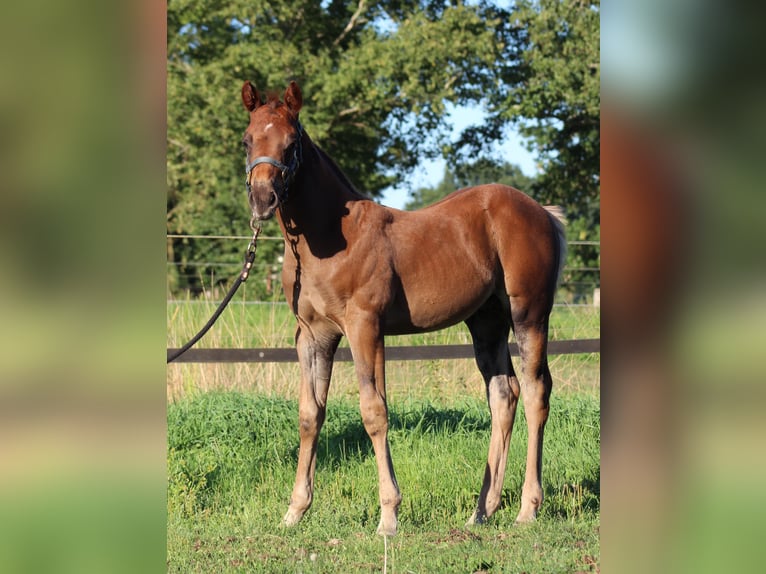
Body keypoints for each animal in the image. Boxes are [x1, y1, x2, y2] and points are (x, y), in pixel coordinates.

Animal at [240, 80, 567, 536]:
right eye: (247, 140)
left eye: (291, 144)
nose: (262, 199)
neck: (331, 238)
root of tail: (542, 213)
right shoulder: (312, 334)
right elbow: (310, 414)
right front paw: (295, 511)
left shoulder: (365, 327)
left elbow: (374, 411)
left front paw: (389, 516)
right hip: (486, 322)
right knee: (504, 394)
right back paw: (482, 510)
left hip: (529, 315)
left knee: (537, 392)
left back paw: (527, 508)